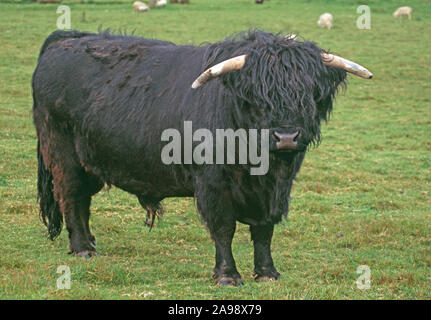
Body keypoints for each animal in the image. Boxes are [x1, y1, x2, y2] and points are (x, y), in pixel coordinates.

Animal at [33, 30, 372, 284]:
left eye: (309, 93)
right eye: (259, 95)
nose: (286, 137)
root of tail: (66, 39)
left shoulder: (278, 188)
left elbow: (264, 230)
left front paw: (267, 273)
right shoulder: (213, 183)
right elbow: (224, 228)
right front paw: (227, 276)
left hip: (89, 162)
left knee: (83, 201)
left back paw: (91, 242)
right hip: (62, 154)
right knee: (71, 196)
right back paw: (82, 249)